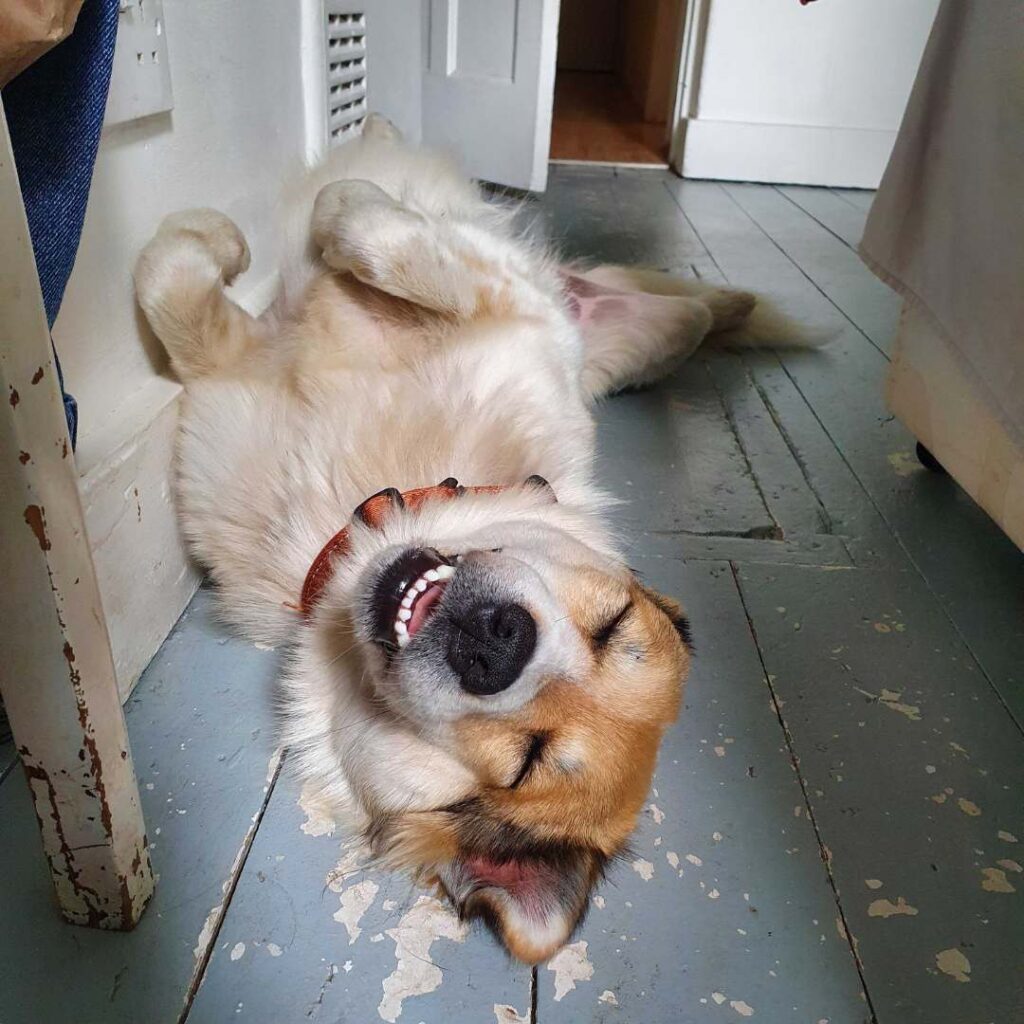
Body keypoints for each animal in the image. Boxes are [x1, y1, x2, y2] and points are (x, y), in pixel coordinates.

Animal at [134, 116, 790, 962]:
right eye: (612, 626)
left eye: (522, 766)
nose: (496, 642)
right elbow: (180, 281)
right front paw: (251, 233)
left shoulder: (497, 300)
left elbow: (350, 230)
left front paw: (312, 210)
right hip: (636, 321)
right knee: (694, 306)